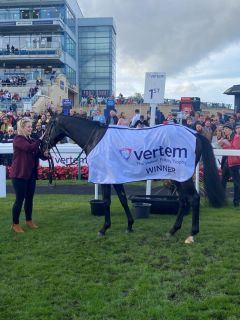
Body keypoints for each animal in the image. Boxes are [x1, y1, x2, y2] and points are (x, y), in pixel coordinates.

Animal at [41, 114, 225, 242]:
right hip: (177, 176)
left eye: (48, 126)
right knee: (183, 201)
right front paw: (129, 225)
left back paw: (192, 234)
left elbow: (107, 201)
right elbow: (123, 199)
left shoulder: (106, 177)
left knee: (194, 199)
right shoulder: (116, 177)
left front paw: (103, 229)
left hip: (183, 177)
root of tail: (195, 134)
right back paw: (172, 230)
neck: (96, 138)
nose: (42, 145)